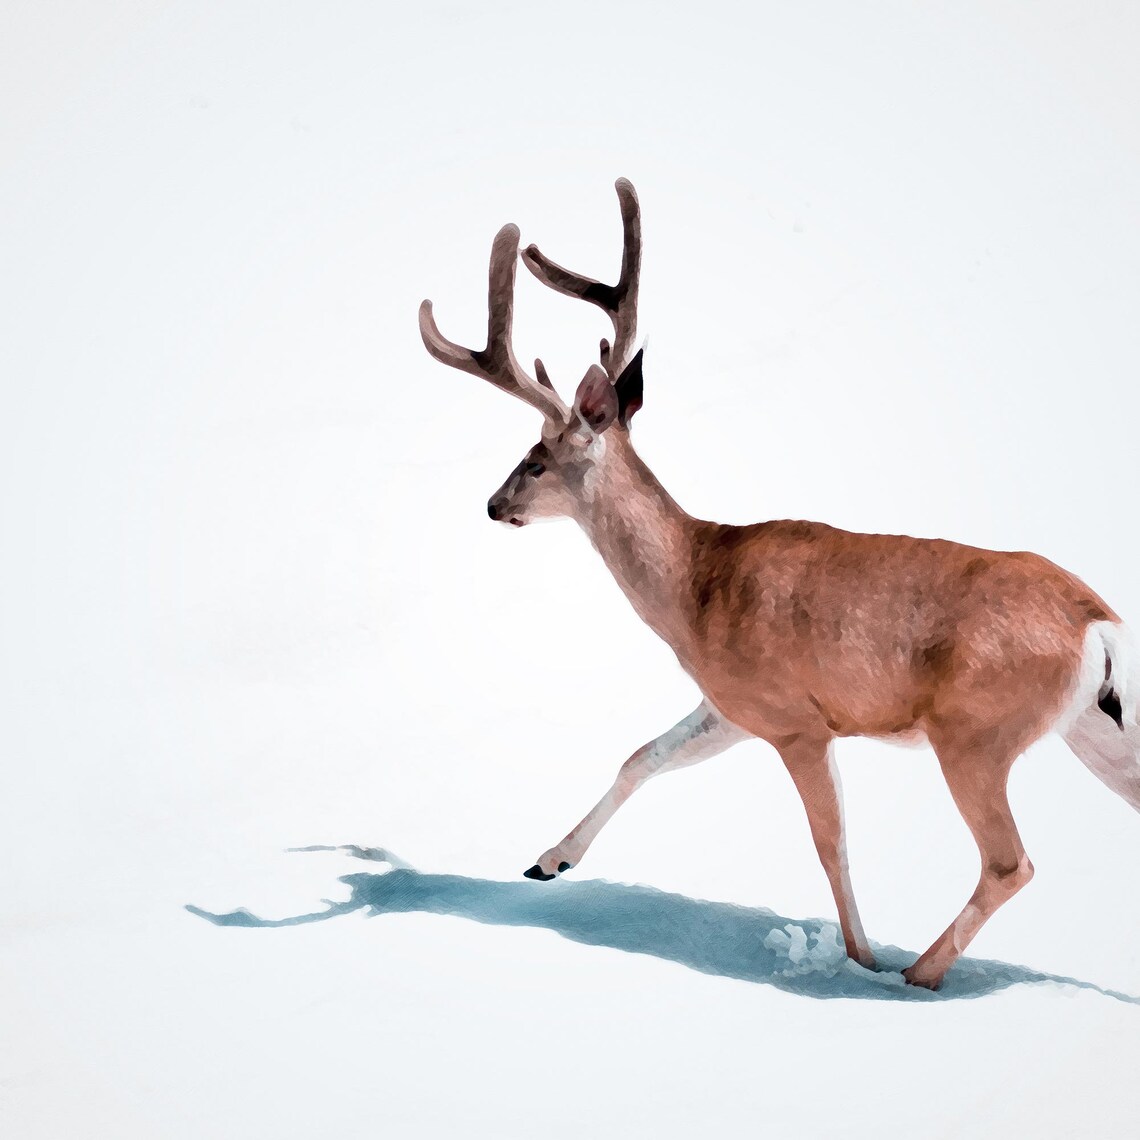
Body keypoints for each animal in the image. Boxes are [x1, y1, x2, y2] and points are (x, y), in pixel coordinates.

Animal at [418, 178, 1140, 989]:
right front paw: (549, 860)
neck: (693, 587)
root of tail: (1098, 622)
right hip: (1096, 726)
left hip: (976, 732)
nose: (492, 504)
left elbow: (832, 845)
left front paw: (858, 958)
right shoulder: (732, 706)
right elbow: (642, 755)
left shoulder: (796, 719)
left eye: (537, 460)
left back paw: (916, 974)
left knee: (1009, 862)